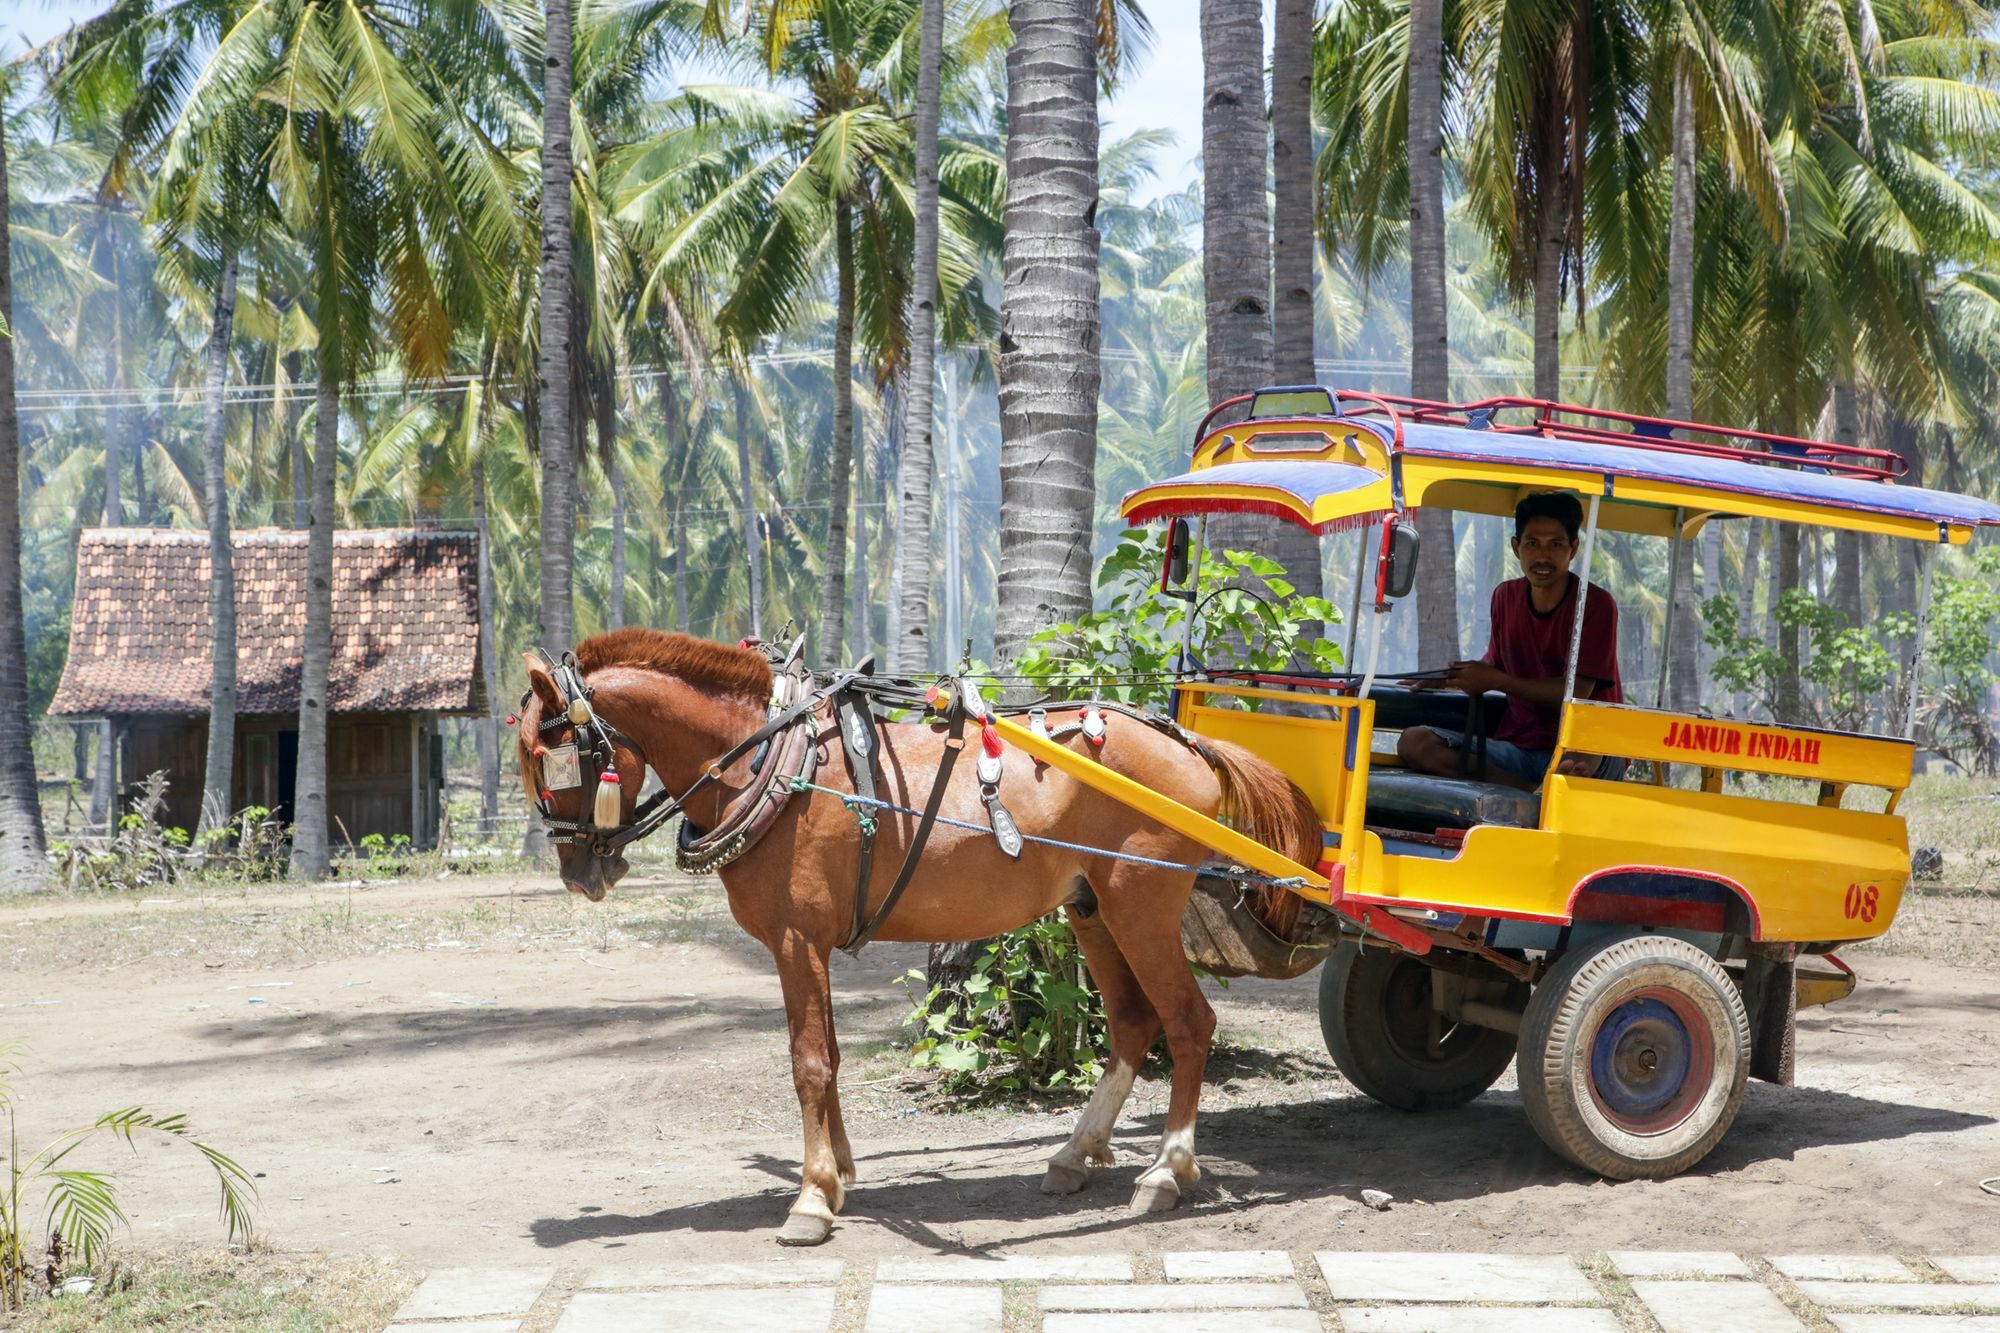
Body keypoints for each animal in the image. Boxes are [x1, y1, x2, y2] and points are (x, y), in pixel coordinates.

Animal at [524, 628, 1320, 1240]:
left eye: (546, 758)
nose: (578, 871)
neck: (773, 762)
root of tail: (1185, 743)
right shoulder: (809, 945)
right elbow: (829, 1056)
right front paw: (839, 1174)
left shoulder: (795, 939)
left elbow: (807, 1062)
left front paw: (811, 1198)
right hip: (1092, 908)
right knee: (1131, 1022)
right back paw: (1075, 1152)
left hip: (1142, 904)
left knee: (1188, 1021)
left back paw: (1167, 1170)